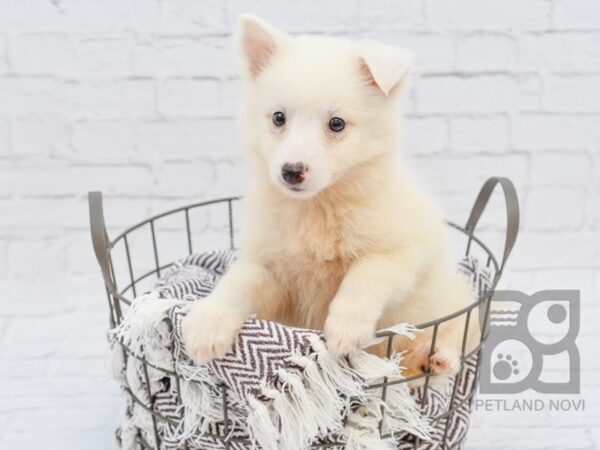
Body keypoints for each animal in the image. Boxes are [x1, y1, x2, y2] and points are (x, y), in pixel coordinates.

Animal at [183, 15, 478, 382]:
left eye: (336, 124)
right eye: (278, 118)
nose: (291, 171)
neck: (317, 208)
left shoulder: (399, 254)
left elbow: (365, 276)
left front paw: (344, 327)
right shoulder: (269, 267)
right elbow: (237, 282)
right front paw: (207, 322)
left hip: (452, 303)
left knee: (455, 336)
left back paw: (436, 358)